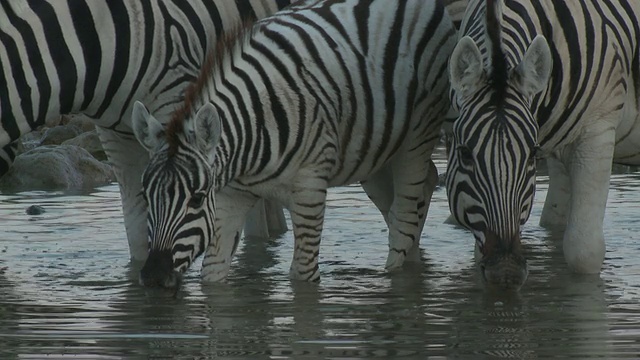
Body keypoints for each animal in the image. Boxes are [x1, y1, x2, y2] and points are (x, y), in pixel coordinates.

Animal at [132, 0, 458, 288]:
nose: (153, 277)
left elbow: (302, 277)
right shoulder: (230, 196)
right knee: (417, 190)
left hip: (417, 135)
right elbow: (213, 273)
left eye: (197, 199)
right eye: (146, 197)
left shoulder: (309, 193)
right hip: (373, 149)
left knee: (404, 218)